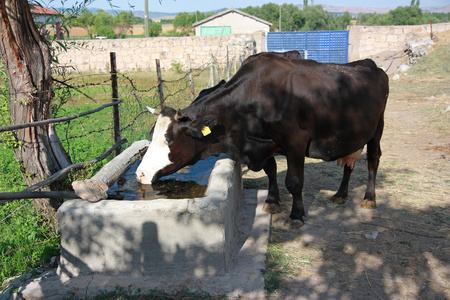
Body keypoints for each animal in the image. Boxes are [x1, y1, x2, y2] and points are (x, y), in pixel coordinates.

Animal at [135, 51, 388, 226]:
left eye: (168, 140)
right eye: (150, 136)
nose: (140, 174)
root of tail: (369, 64)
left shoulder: (295, 141)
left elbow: (294, 182)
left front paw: (296, 215)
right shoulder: (263, 144)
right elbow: (271, 171)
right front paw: (272, 201)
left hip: (377, 128)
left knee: (373, 160)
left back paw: (369, 197)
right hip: (352, 133)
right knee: (349, 162)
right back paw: (340, 195)